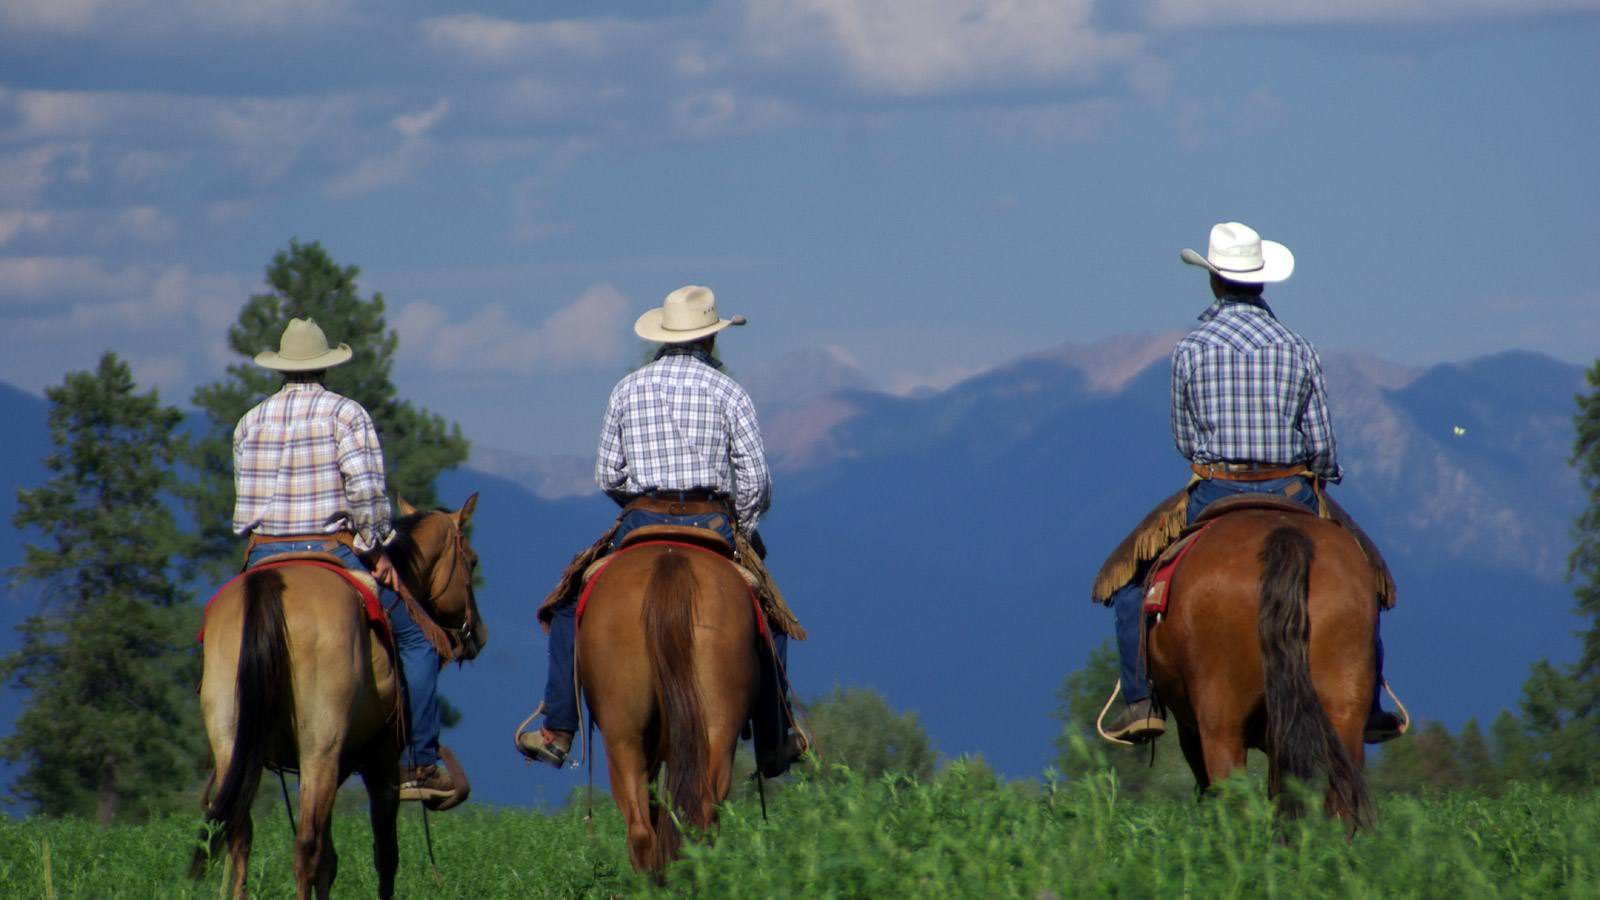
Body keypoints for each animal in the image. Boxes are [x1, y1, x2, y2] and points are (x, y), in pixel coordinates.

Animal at [190, 496, 483, 896]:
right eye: (471, 561)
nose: (478, 634)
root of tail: (270, 586)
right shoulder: (380, 761)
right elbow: (384, 856)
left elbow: (330, 860)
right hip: (321, 747)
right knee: (305, 846)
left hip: (232, 740)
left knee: (241, 833)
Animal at [1145, 506, 1382, 826]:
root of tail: (1285, 537)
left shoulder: (1190, 726)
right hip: (1344, 709)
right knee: (1341, 793)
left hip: (1220, 719)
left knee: (1232, 788)